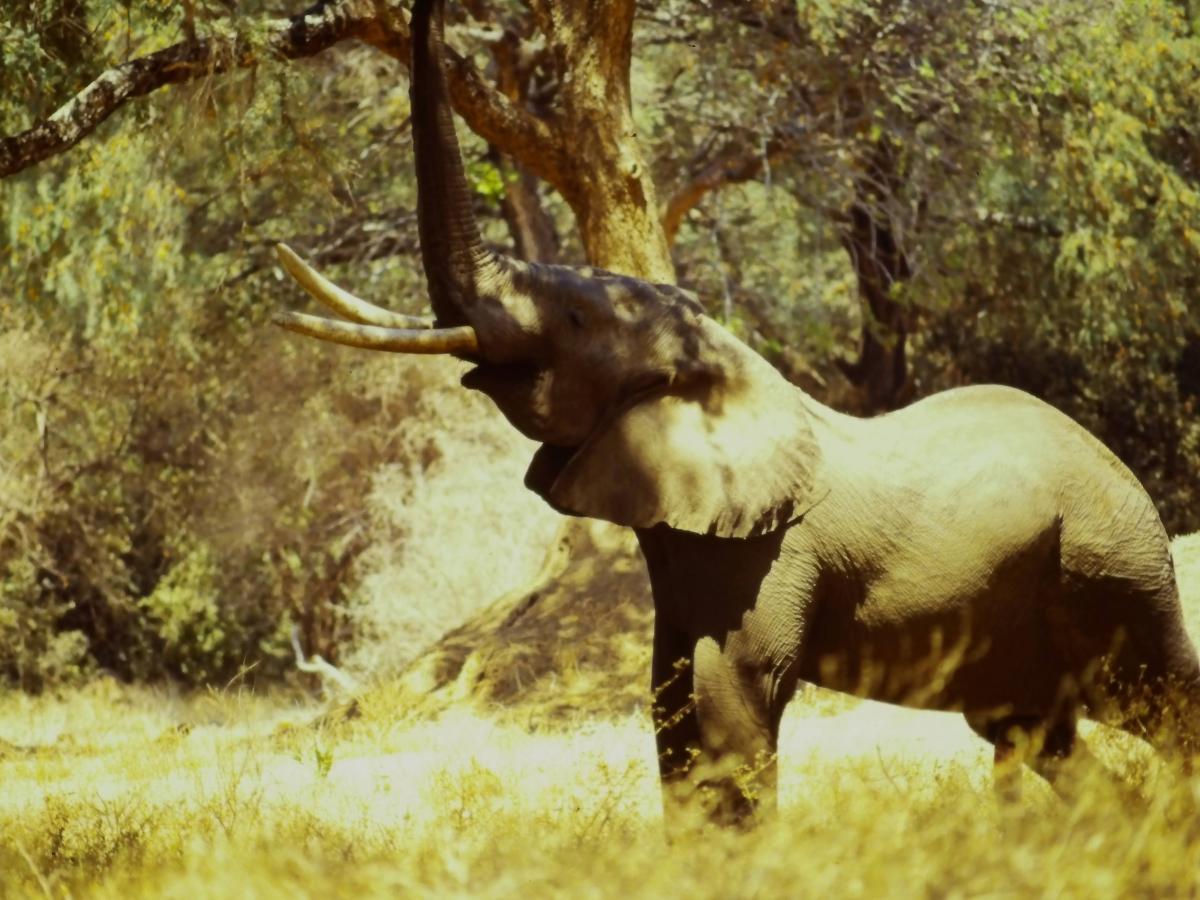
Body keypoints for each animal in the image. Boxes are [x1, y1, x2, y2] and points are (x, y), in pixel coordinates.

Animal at [273, 0, 1200, 826]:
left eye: (572, 319)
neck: (722, 361)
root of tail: (1121, 470)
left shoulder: (771, 552)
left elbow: (730, 695)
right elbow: (672, 699)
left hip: (1109, 562)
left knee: (1156, 697)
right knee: (1033, 730)